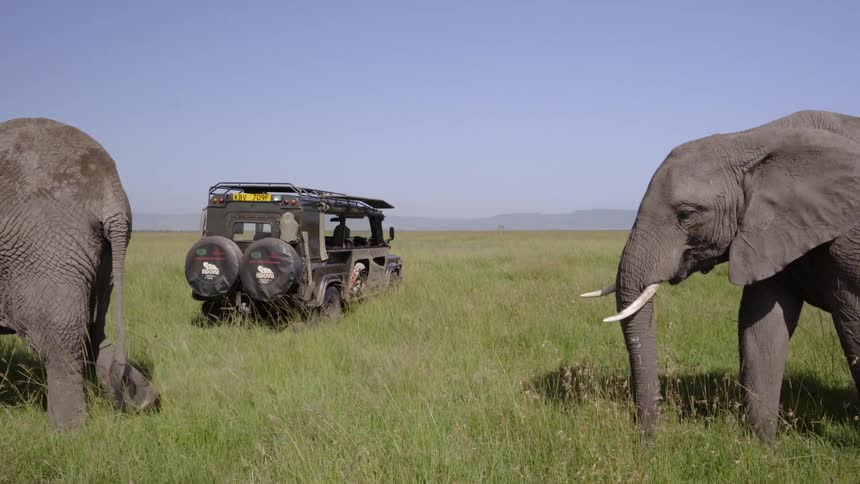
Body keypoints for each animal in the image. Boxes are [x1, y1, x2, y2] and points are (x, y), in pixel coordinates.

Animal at [0, 118, 158, 429]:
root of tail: (110, 191)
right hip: (104, 255)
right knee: (94, 330)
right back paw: (146, 399)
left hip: (46, 247)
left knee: (61, 340)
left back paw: (69, 430)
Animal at [582, 110, 860, 442]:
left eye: (686, 215)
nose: (647, 441)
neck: (751, 140)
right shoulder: (766, 233)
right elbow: (760, 327)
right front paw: (765, 447)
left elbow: (854, 326)